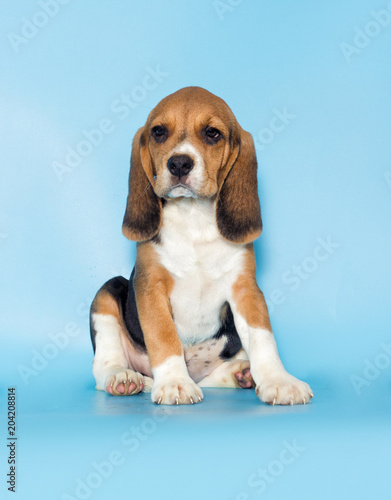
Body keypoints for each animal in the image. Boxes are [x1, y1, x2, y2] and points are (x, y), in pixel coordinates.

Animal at [90, 87, 314, 406]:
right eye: (158, 132)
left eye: (212, 133)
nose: (179, 163)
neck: (193, 217)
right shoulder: (151, 285)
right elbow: (164, 336)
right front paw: (174, 383)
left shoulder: (245, 288)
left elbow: (262, 337)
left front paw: (279, 380)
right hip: (108, 292)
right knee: (103, 366)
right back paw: (124, 377)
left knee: (215, 375)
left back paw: (241, 373)